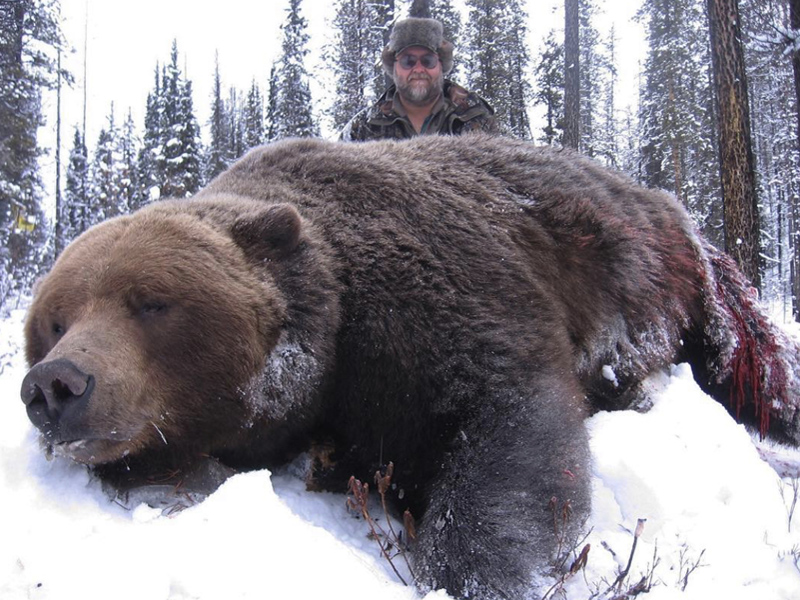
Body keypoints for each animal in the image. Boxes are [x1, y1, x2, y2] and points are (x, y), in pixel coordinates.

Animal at [20, 134, 800, 600]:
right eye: (55, 319)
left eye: (151, 301)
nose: (55, 384)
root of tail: (668, 203)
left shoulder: (436, 302)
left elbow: (511, 423)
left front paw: (479, 572)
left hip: (666, 278)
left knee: (741, 362)